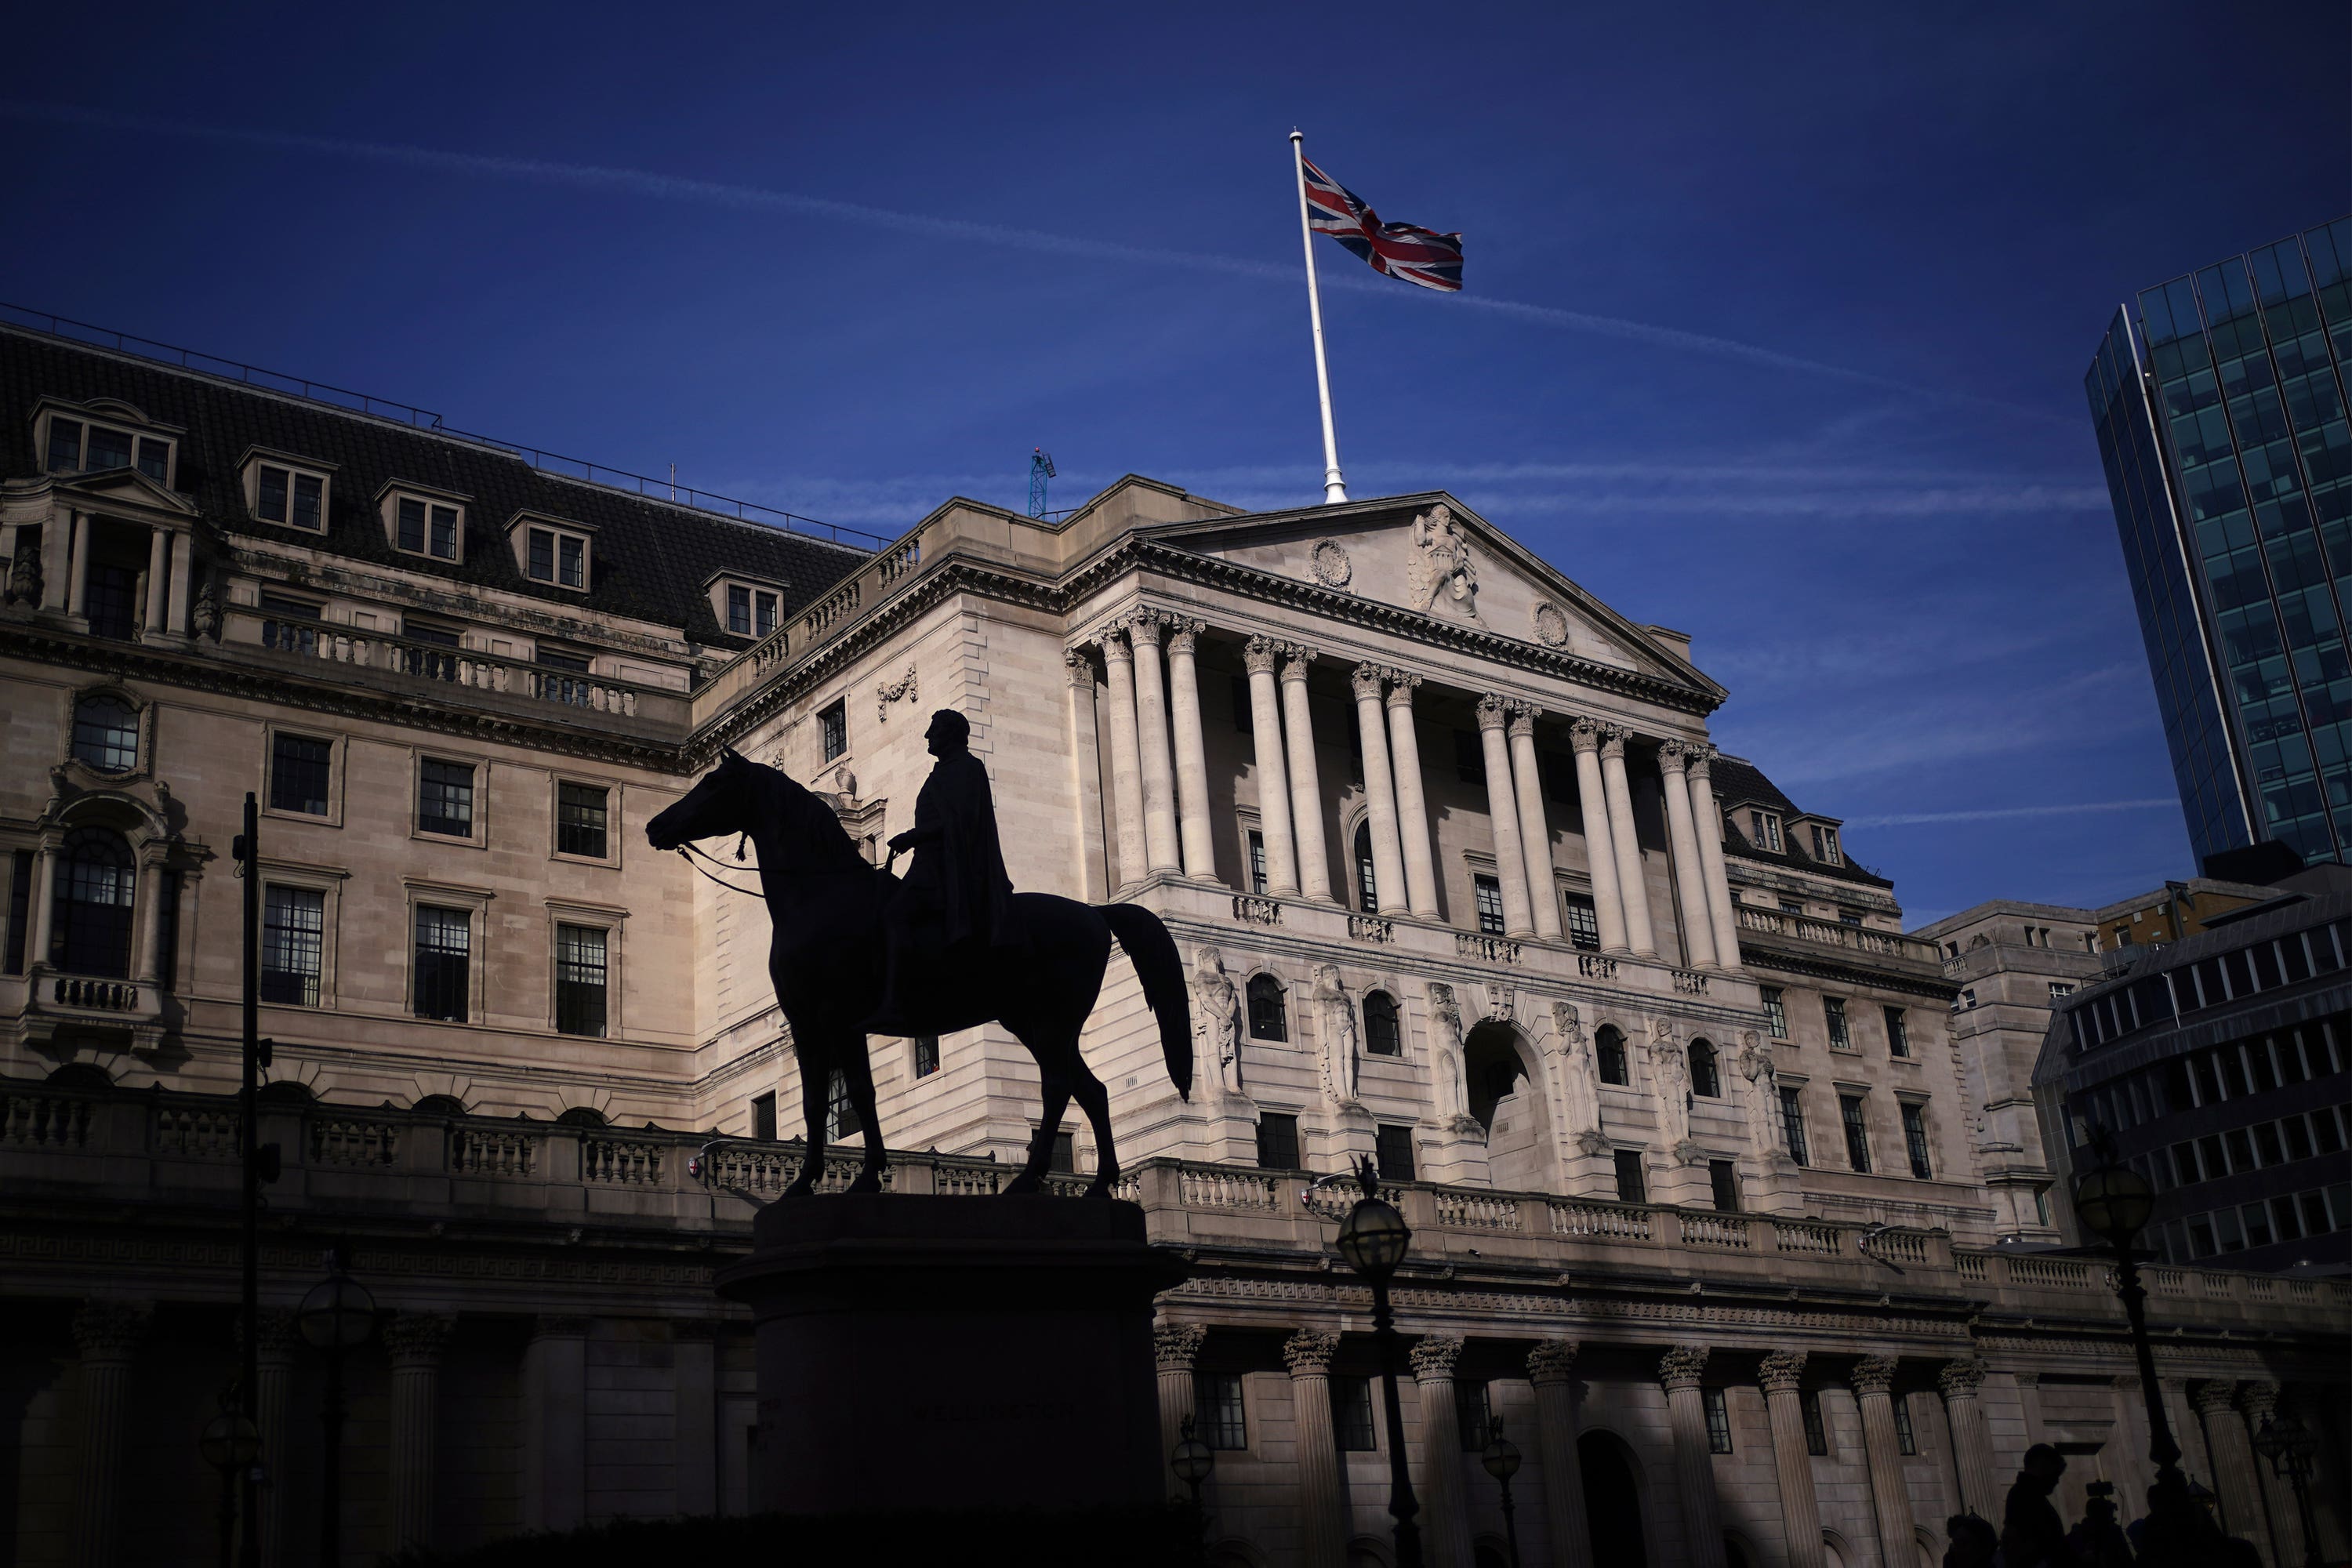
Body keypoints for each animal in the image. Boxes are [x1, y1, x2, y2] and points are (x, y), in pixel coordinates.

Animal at [649, 747, 1185, 1203]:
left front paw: (817, 1181)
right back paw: (1095, 1186)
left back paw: (1036, 1181)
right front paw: (855, 1176)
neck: (821, 898)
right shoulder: (829, 1023)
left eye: (714, 784)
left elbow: (830, 1098)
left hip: (1051, 1022)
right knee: (1089, 1089)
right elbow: (847, 1096)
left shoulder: (825, 1019)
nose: (656, 826)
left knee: (1059, 1087)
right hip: (1031, 1022)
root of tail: (1096, 911)